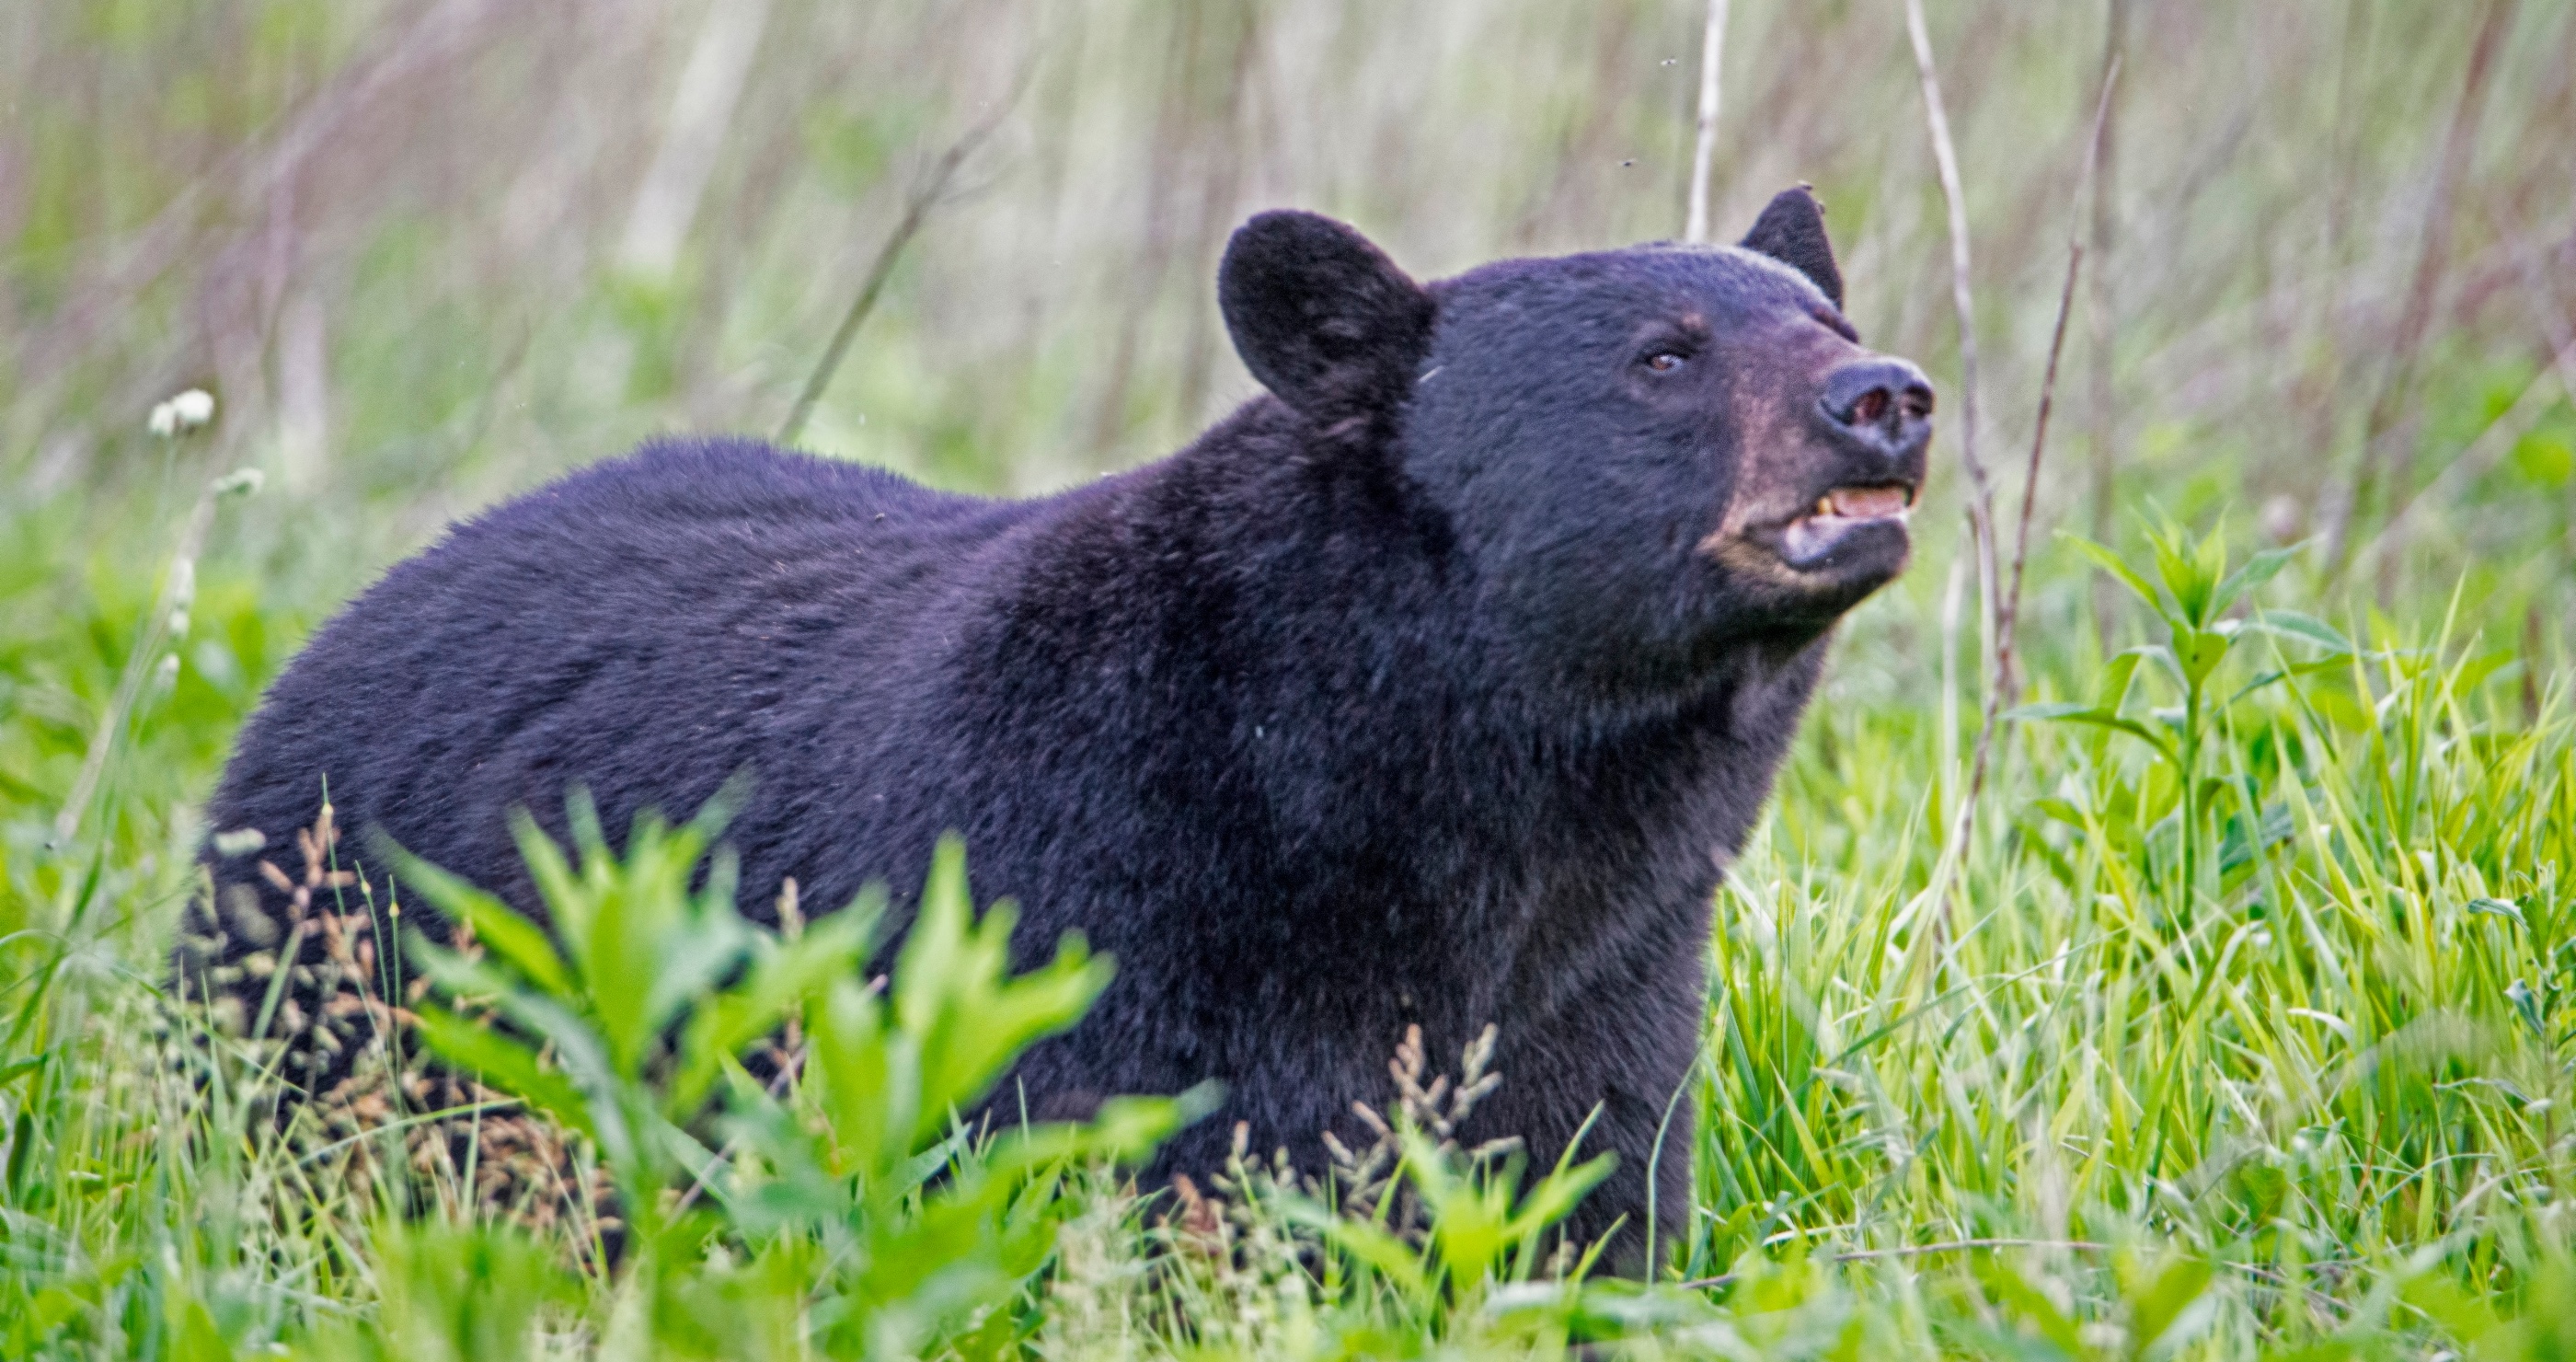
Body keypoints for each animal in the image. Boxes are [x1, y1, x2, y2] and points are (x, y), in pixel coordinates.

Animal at [187, 188, 1937, 1251]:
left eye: (1830, 326)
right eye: (1665, 356)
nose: (1888, 398)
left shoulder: (1608, 983)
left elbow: (1582, 1195)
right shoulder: (1072, 917)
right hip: (335, 986)